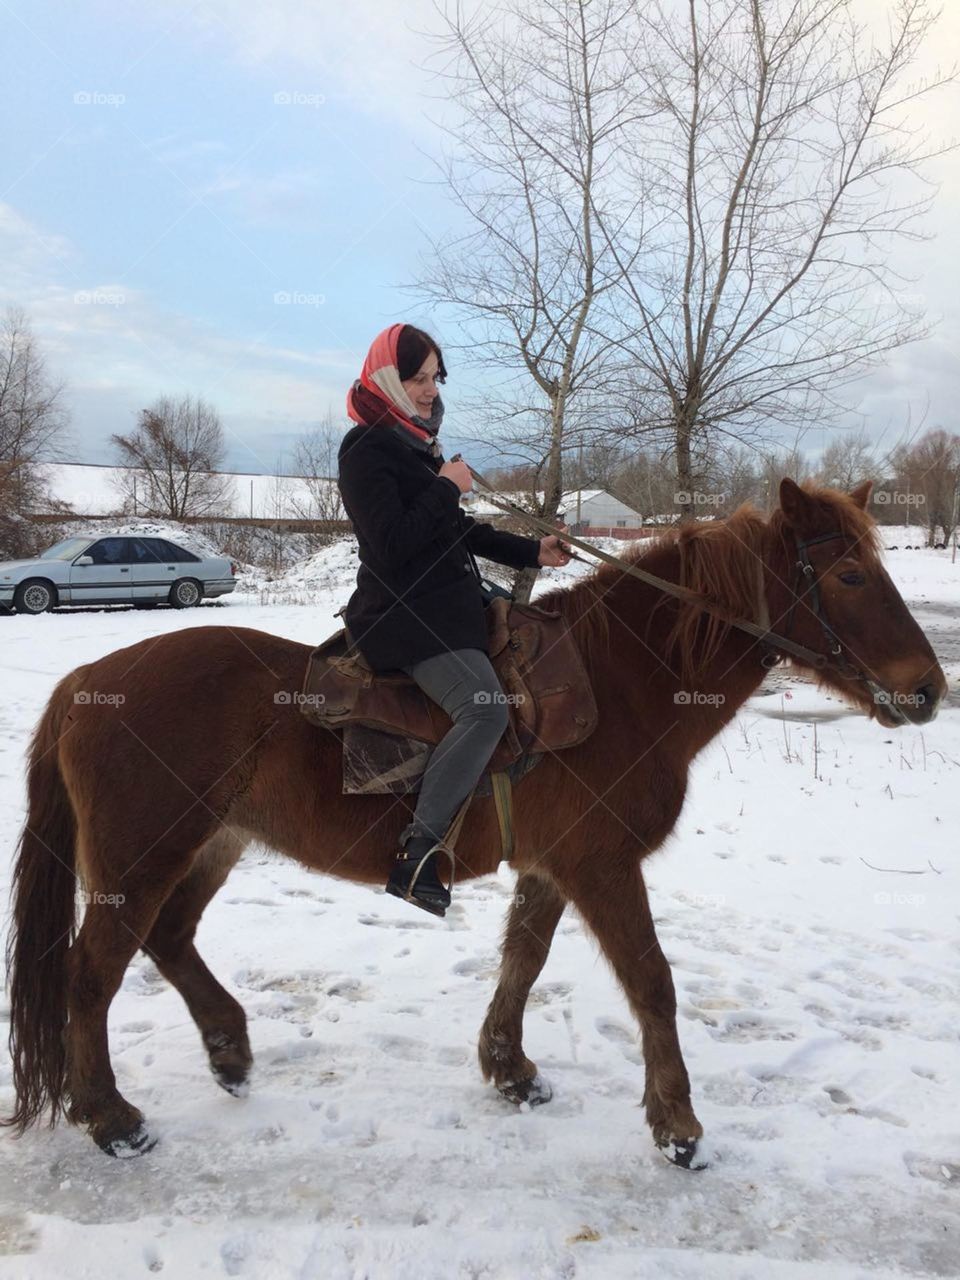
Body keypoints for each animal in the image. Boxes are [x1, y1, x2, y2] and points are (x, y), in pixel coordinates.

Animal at [3, 479, 946, 1166]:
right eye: (850, 576)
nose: (930, 689)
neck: (625, 683)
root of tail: (88, 681)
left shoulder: (554, 868)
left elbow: (524, 961)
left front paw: (510, 1070)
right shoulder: (602, 866)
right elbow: (652, 982)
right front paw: (677, 1126)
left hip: (214, 841)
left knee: (170, 939)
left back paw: (229, 1050)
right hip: (142, 857)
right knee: (91, 975)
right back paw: (112, 1118)